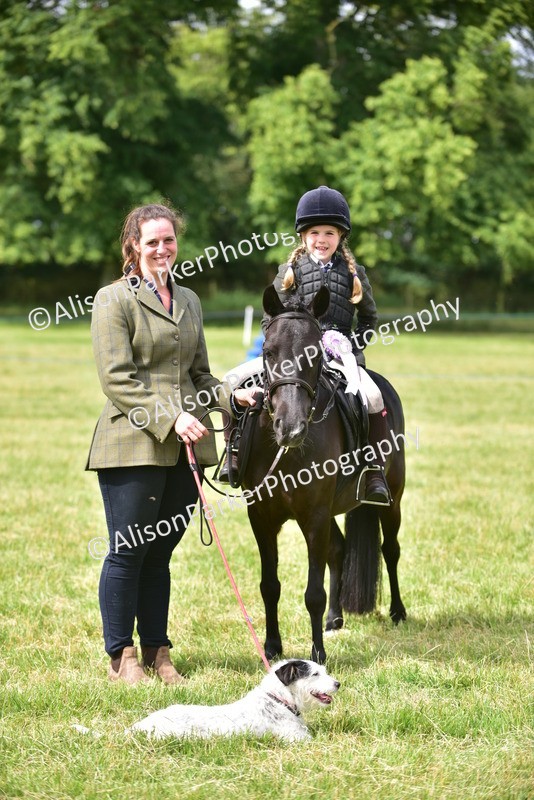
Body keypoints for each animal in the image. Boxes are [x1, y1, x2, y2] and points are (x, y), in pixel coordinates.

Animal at [238, 285, 407, 664]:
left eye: (315, 354)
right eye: (268, 352)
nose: (290, 428)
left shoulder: (314, 516)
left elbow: (313, 592)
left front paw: (317, 654)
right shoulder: (262, 518)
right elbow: (269, 585)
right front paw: (272, 647)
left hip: (392, 499)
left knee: (390, 549)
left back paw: (398, 612)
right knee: (339, 551)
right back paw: (334, 619)